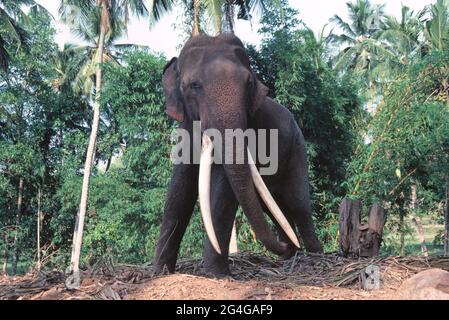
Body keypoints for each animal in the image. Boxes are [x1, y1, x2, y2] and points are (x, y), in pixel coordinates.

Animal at [154, 33, 322, 276]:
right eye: (194, 85)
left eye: (249, 83)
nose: (283, 247)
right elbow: (178, 191)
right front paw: (159, 271)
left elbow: (222, 190)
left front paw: (215, 274)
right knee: (273, 207)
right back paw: (290, 254)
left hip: (297, 150)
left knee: (298, 204)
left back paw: (314, 253)